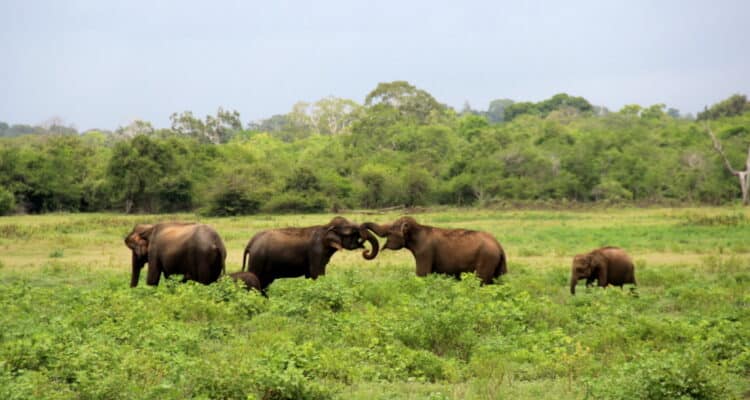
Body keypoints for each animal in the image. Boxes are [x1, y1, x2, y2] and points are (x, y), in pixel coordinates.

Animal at [244, 217, 378, 290]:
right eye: (353, 232)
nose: (365, 250)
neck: (326, 227)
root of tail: (251, 242)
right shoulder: (316, 251)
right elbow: (316, 274)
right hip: (258, 259)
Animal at [362, 216, 508, 284]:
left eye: (390, 231)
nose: (365, 251)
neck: (418, 228)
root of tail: (499, 246)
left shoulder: (425, 252)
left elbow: (422, 274)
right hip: (498, 264)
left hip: (486, 259)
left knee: (481, 282)